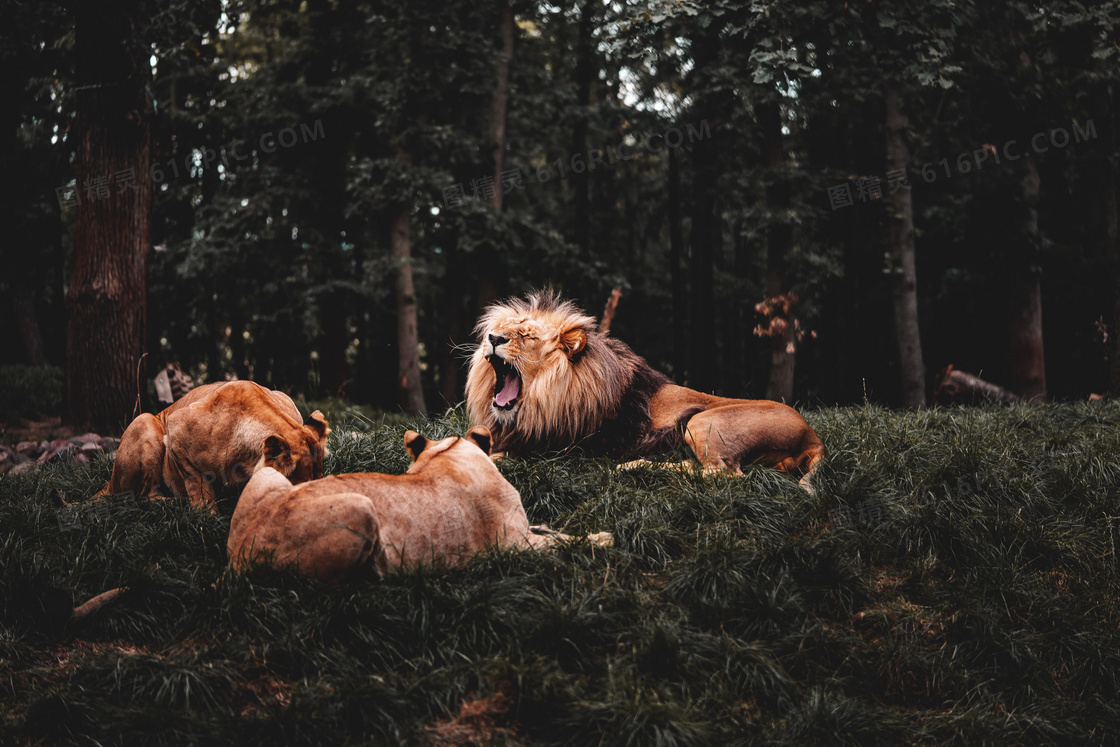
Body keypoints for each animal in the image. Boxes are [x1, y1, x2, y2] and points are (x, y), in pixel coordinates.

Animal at [463, 291, 824, 490]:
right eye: (504, 328)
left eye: (528, 337)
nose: (493, 338)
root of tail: (811, 434)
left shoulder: (561, 449)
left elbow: (501, 455)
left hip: (703, 422)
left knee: (724, 474)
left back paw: (637, 467)